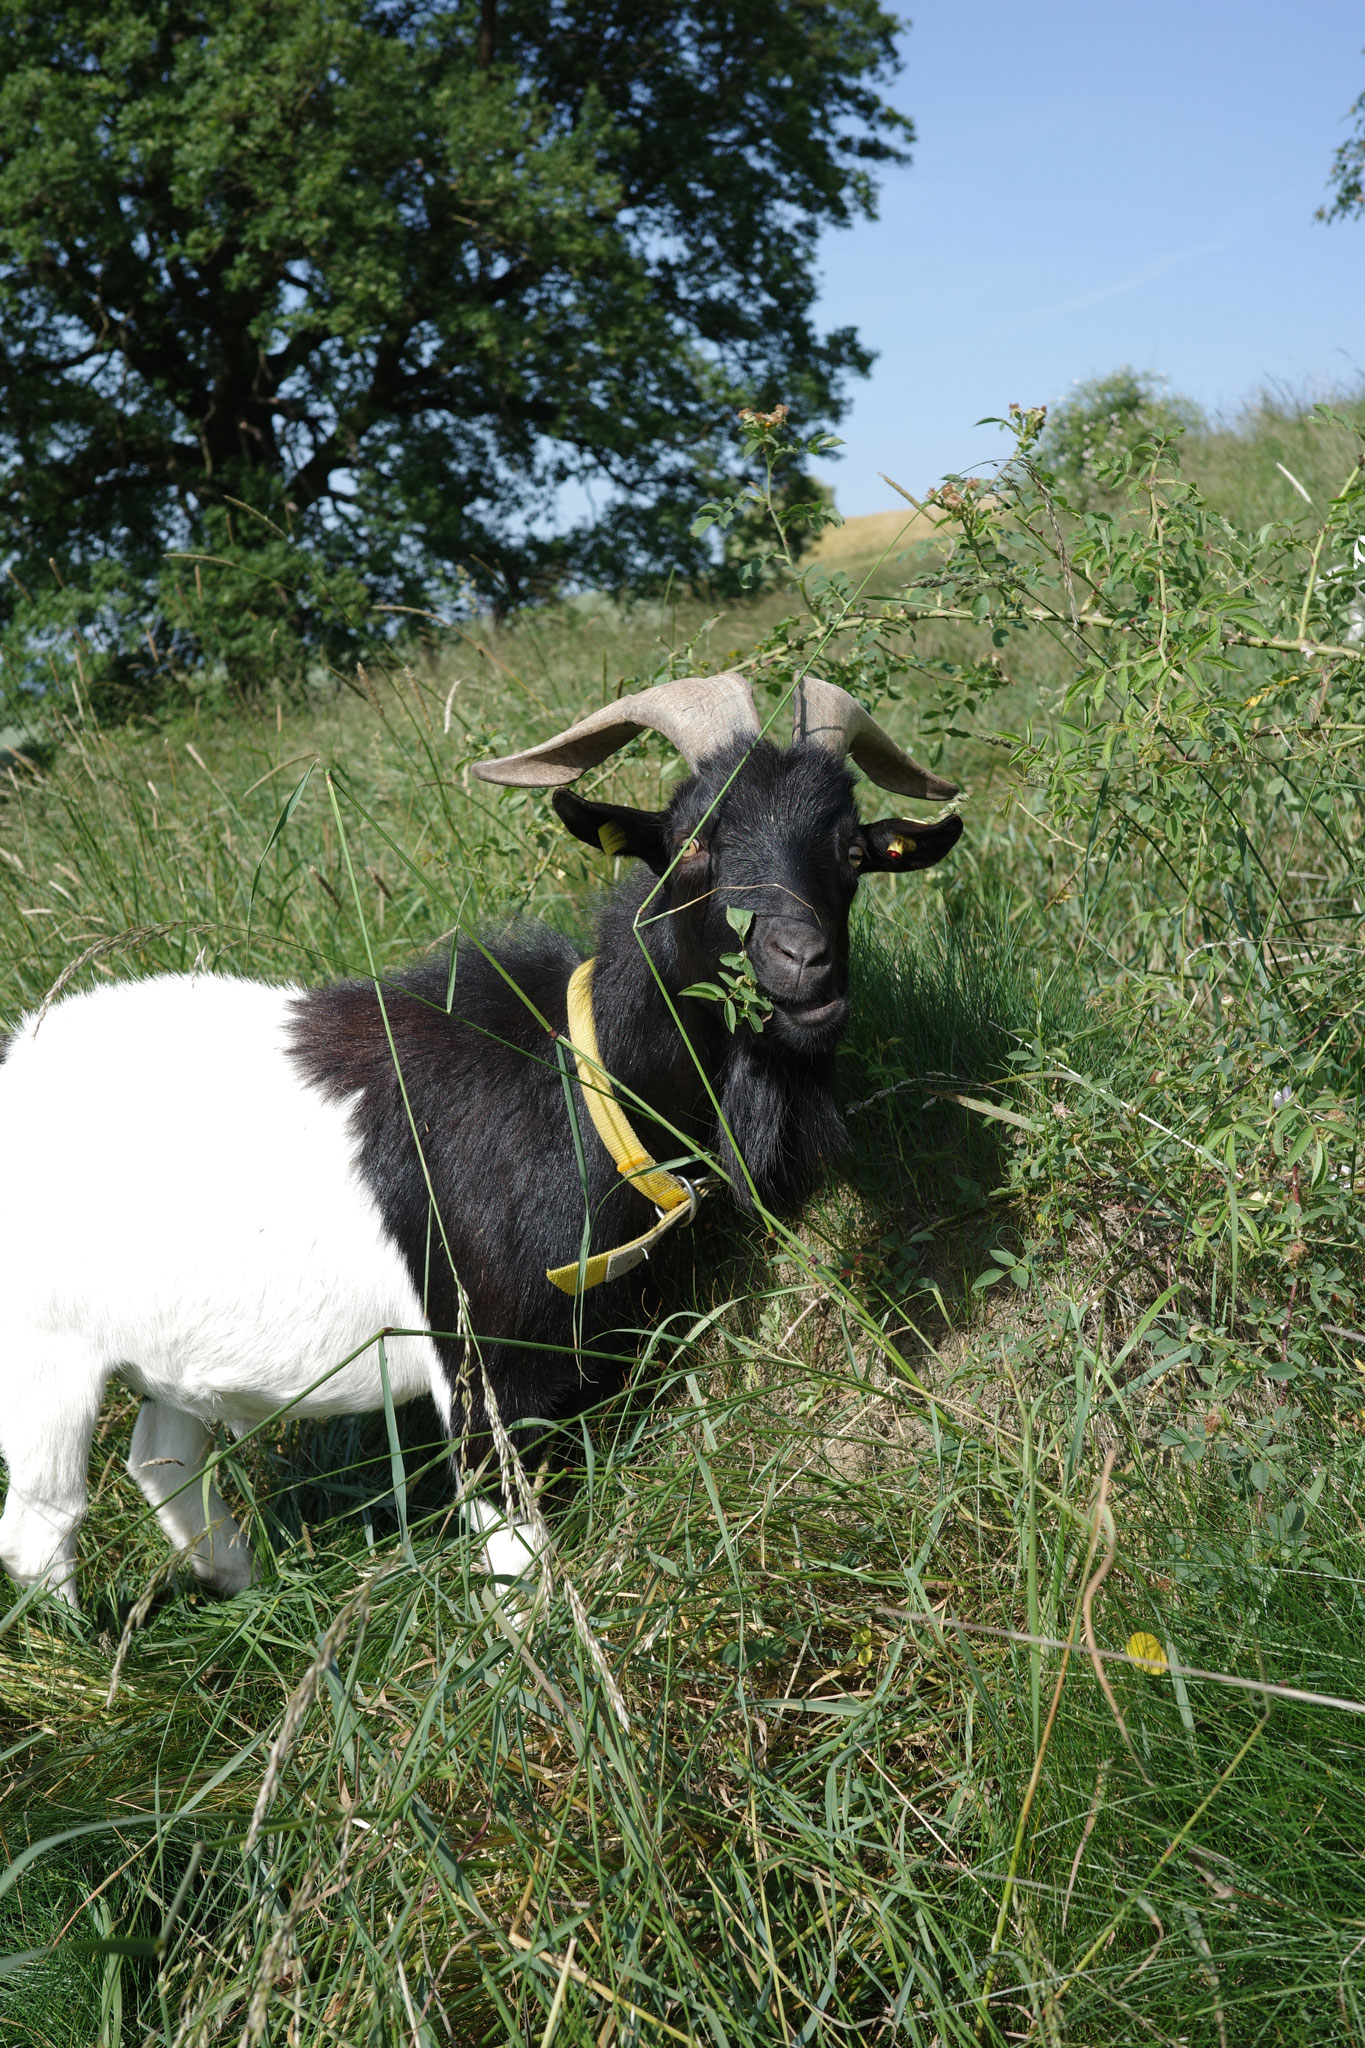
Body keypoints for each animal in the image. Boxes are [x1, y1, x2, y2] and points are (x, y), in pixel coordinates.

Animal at [0, 673, 961, 1605]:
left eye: (852, 853)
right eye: (693, 843)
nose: (803, 964)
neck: (573, 1074)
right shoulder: (482, 1367)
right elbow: (516, 1556)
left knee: (162, 1461)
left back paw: (241, 1592)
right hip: (44, 1354)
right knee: (41, 1527)